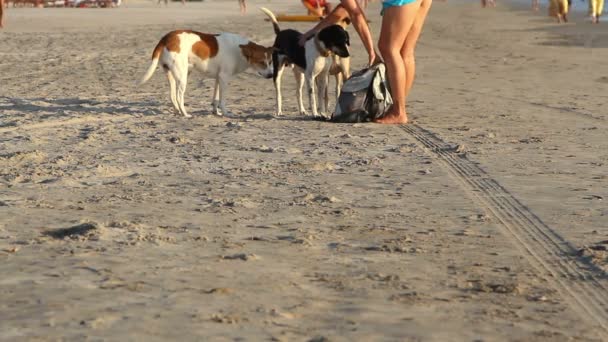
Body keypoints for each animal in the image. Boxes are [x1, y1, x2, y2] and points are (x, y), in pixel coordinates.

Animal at [138, 30, 274, 117]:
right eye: (261, 62)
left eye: (270, 61)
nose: (271, 75)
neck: (240, 51)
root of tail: (165, 39)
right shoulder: (224, 78)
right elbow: (222, 100)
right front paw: (226, 113)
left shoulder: (219, 78)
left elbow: (216, 98)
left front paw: (216, 112)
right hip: (183, 77)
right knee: (179, 96)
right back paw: (185, 114)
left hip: (171, 74)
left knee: (172, 96)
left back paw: (177, 111)